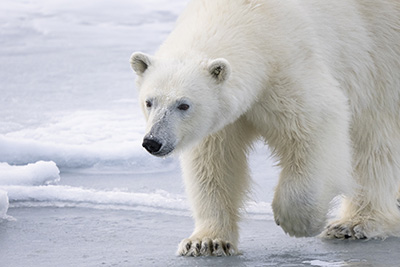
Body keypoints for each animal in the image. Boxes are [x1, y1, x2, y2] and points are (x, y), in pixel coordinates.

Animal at [130, 0, 400, 258]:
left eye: (184, 104)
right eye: (149, 102)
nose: (153, 141)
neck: (249, 17)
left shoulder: (288, 66)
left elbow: (316, 125)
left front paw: (298, 222)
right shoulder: (224, 119)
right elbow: (213, 163)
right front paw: (206, 242)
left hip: (379, 58)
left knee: (372, 142)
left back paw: (352, 224)